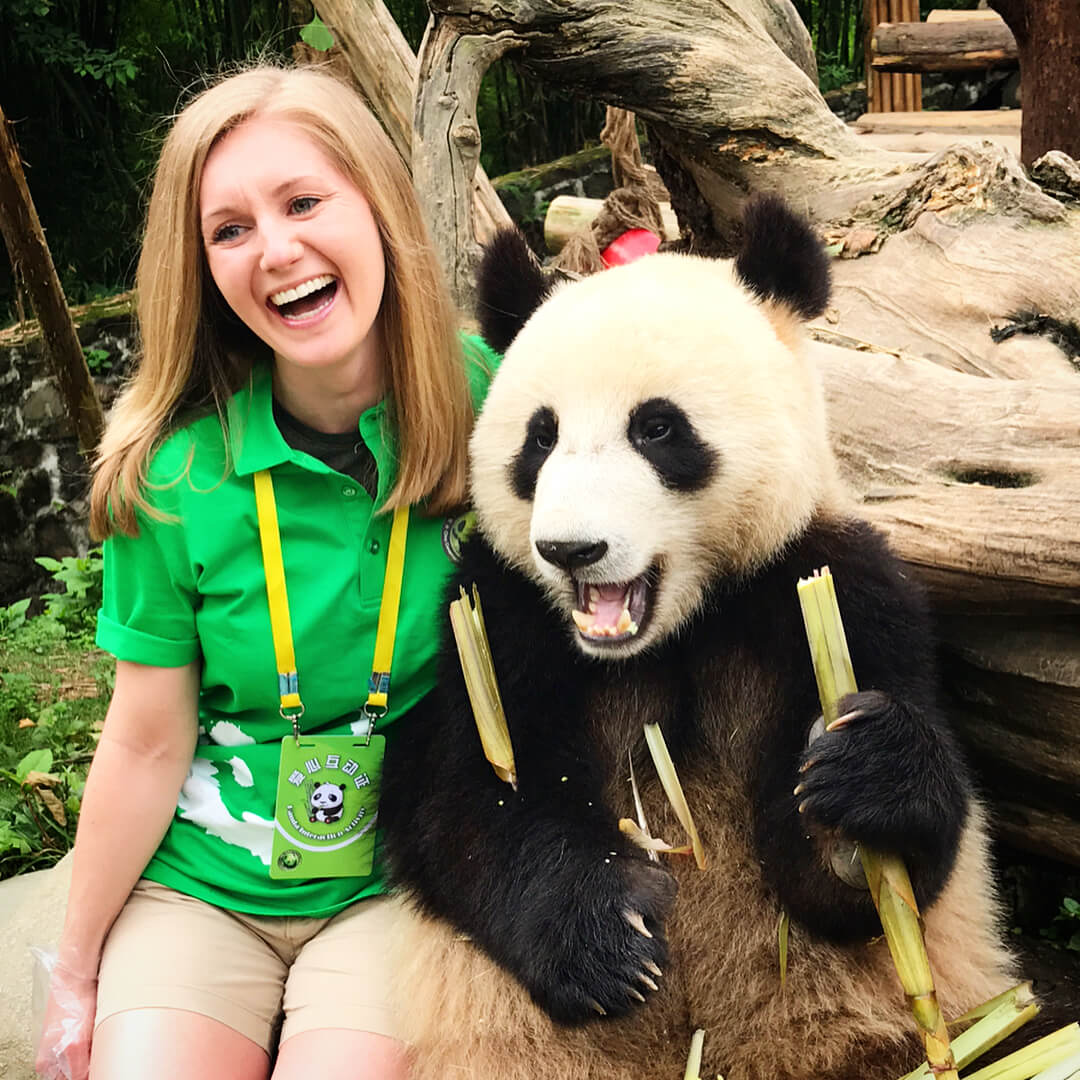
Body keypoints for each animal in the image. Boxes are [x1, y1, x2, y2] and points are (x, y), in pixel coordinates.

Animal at [382, 198, 1019, 1080]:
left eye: (657, 427)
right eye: (540, 438)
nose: (571, 549)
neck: (672, 633)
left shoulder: (835, 587)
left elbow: (870, 879)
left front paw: (856, 791)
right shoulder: (496, 618)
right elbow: (465, 799)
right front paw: (608, 943)